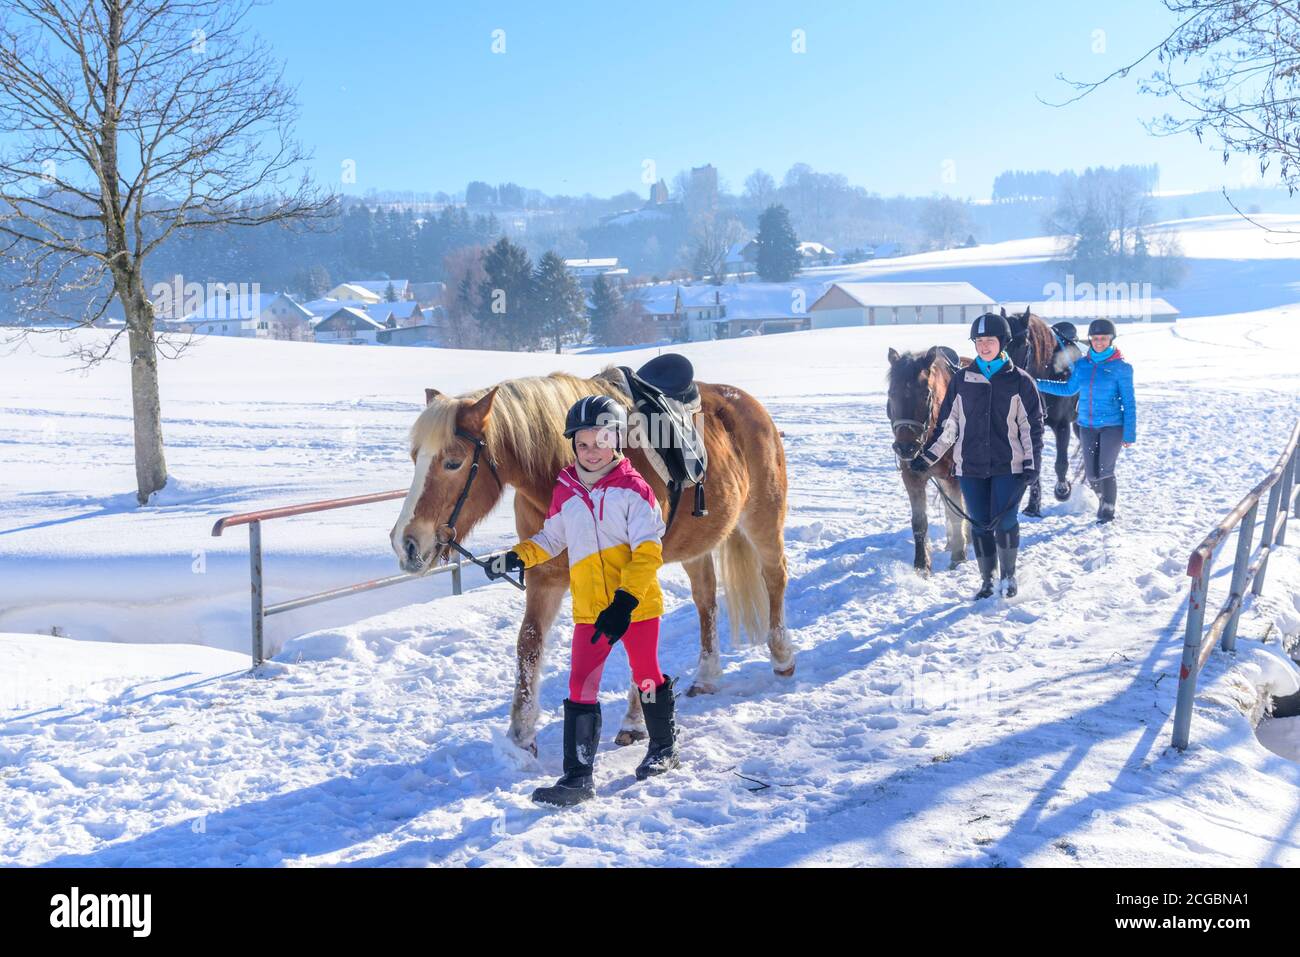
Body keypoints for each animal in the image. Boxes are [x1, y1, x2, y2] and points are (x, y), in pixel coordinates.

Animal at [384, 369, 790, 759]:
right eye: (414, 458)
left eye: (453, 462)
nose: (406, 543)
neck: (565, 477)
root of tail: (746, 404)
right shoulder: (544, 576)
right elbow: (528, 644)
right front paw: (521, 738)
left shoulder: (637, 570)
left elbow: (635, 637)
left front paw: (634, 720)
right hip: (697, 547)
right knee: (706, 599)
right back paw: (707, 675)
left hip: (763, 519)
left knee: (775, 576)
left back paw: (783, 656)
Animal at [889, 343, 972, 572]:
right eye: (891, 393)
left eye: (926, 394)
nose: (905, 447)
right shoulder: (912, 477)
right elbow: (919, 522)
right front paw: (921, 564)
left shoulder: (953, 476)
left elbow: (957, 513)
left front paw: (959, 556)